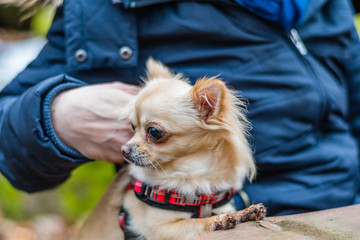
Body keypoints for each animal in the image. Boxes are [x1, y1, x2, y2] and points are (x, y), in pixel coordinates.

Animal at [78, 58, 264, 240]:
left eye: (154, 132)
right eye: (132, 127)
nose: (124, 149)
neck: (192, 173)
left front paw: (245, 213)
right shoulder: (159, 228)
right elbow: (196, 223)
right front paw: (218, 220)